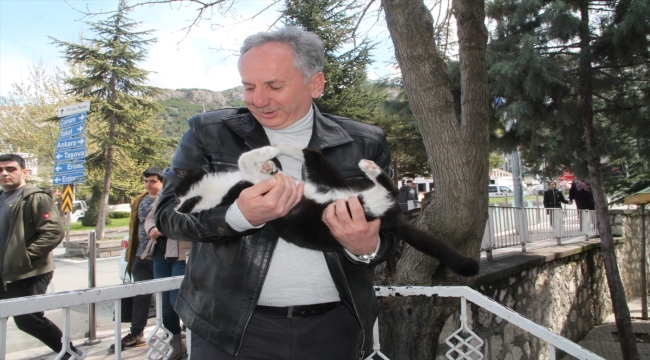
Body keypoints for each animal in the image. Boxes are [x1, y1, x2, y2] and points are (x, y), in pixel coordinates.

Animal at [172, 143, 476, 276]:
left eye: (176, 193)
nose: (174, 206)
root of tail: (393, 217)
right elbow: (243, 159)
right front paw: (265, 157)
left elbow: (246, 159)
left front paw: (268, 160)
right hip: (364, 203)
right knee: (388, 189)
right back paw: (370, 168)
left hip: (325, 175)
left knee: (311, 152)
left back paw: (282, 146)